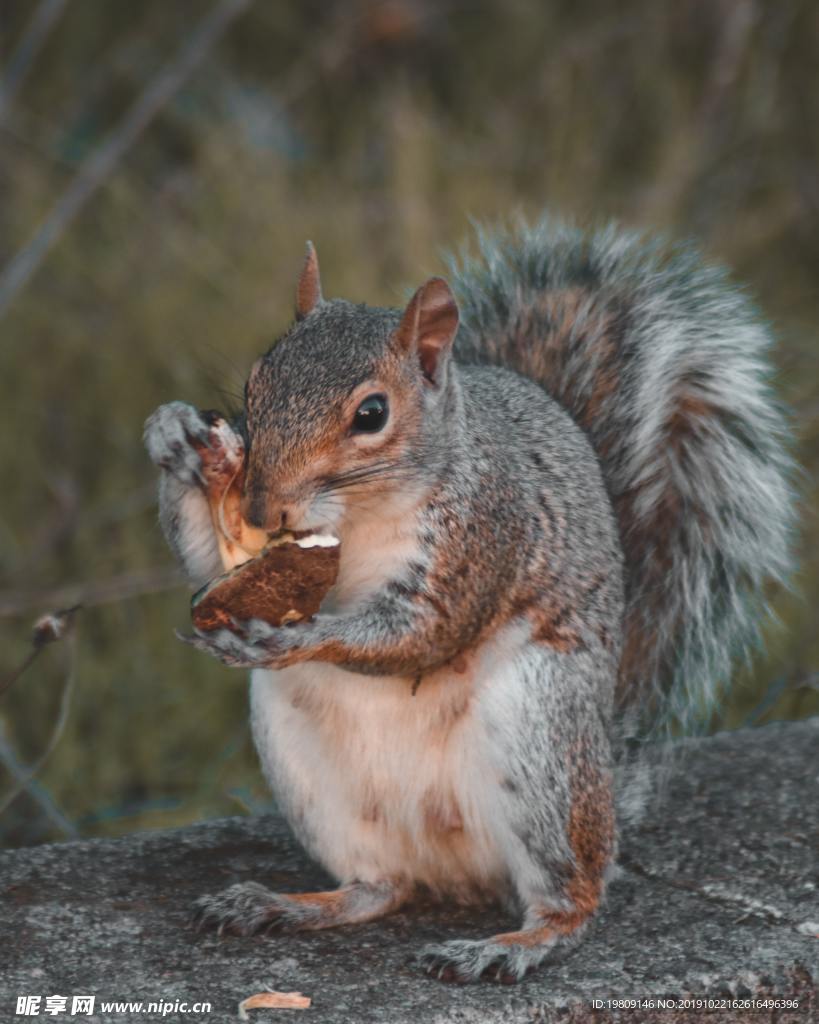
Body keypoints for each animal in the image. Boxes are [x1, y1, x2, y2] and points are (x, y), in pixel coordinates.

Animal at [142, 218, 794, 983]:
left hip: (540, 736)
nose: (261, 507)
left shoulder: (484, 529)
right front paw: (174, 434)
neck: (362, 511)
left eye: (371, 414)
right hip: (307, 771)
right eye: (255, 379)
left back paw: (509, 945)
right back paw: (283, 905)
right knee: (377, 887)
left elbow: (426, 632)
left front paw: (296, 637)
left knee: (572, 896)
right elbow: (209, 561)